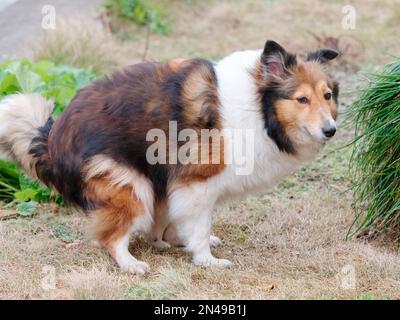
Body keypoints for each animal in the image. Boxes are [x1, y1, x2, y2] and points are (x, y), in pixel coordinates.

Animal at [0, 41, 340, 274]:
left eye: (327, 95)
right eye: (301, 99)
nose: (331, 130)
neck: (258, 107)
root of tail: (53, 138)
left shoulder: (183, 186)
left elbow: (186, 221)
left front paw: (185, 242)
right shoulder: (197, 182)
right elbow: (198, 227)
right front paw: (206, 260)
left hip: (155, 179)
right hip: (131, 185)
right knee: (111, 237)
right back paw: (131, 264)